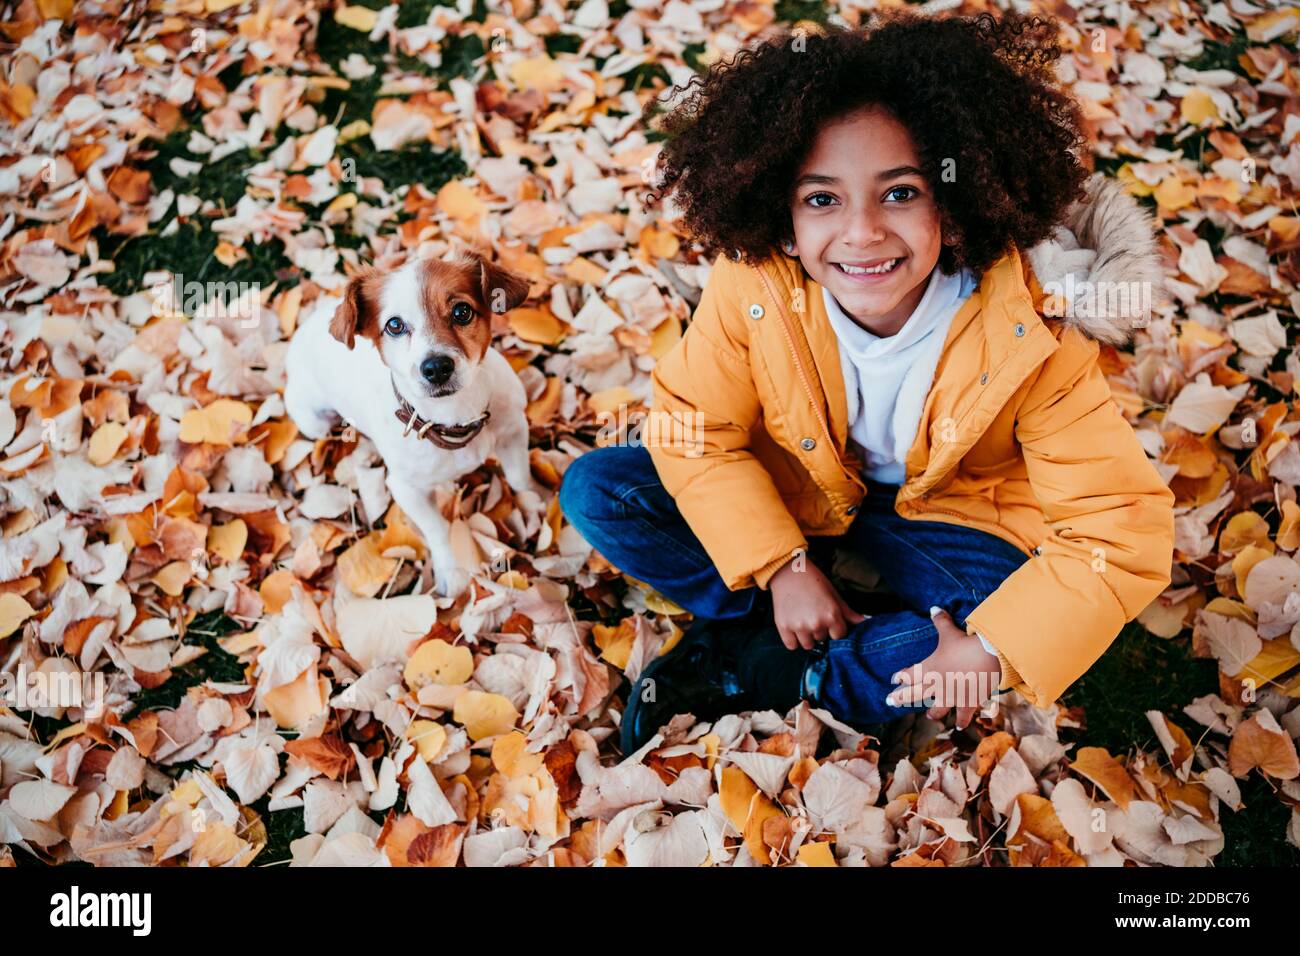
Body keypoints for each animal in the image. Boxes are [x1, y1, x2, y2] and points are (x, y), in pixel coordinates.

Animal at [287, 254, 540, 598]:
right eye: (394, 325)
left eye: (462, 311)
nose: (436, 367)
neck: (454, 416)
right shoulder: (406, 489)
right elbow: (438, 528)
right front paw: (452, 571)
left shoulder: (514, 431)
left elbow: (519, 478)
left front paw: (535, 507)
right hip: (315, 423)